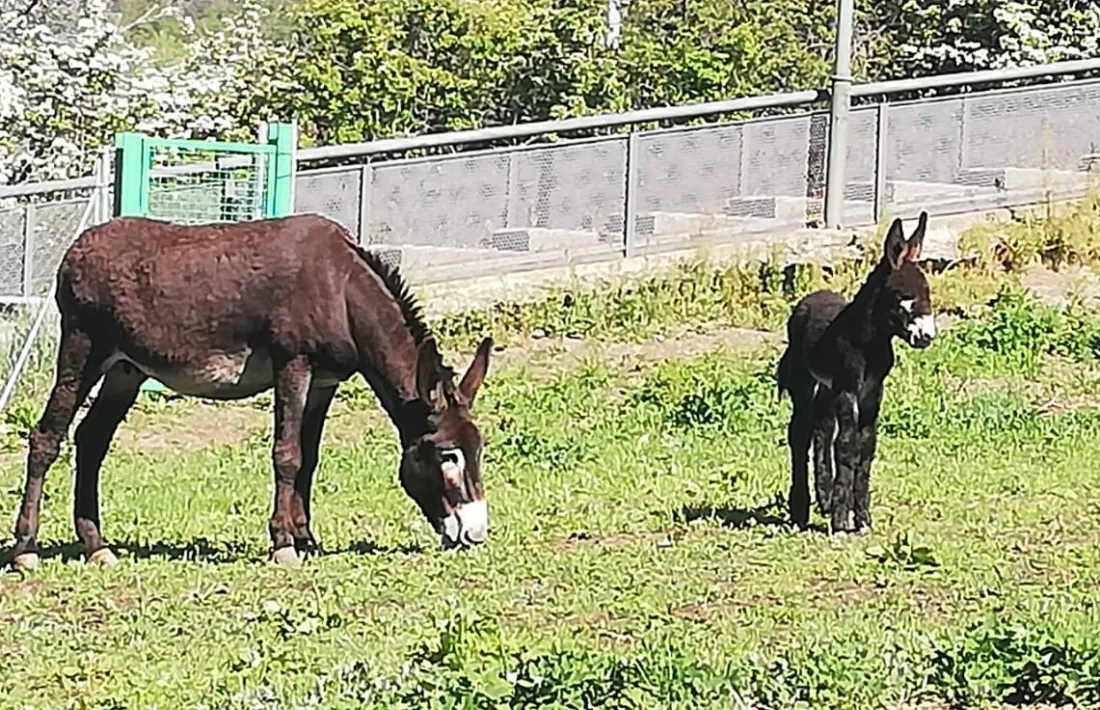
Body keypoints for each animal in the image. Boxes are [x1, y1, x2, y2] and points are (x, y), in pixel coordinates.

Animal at [8, 213, 493, 571]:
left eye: (479, 450)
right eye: (447, 455)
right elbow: (287, 454)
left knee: (91, 440)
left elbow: (309, 459)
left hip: (125, 369)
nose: (475, 534)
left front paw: (306, 539)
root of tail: (76, 248)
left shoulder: (324, 381)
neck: (341, 289)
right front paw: (283, 544)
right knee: (46, 438)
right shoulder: (293, 364)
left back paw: (97, 547)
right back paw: (25, 551)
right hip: (83, 347)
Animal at [776, 212, 936, 534]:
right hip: (805, 381)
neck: (868, 343)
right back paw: (801, 508)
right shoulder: (847, 389)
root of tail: (810, 297)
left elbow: (866, 446)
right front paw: (840, 521)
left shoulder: (873, 390)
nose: (927, 337)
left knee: (822, 430)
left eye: (927, 293)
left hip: (826, 388)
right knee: (800, 433)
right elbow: (847, 446)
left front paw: (861, 517)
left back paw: (823, 499)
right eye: (903, 297)